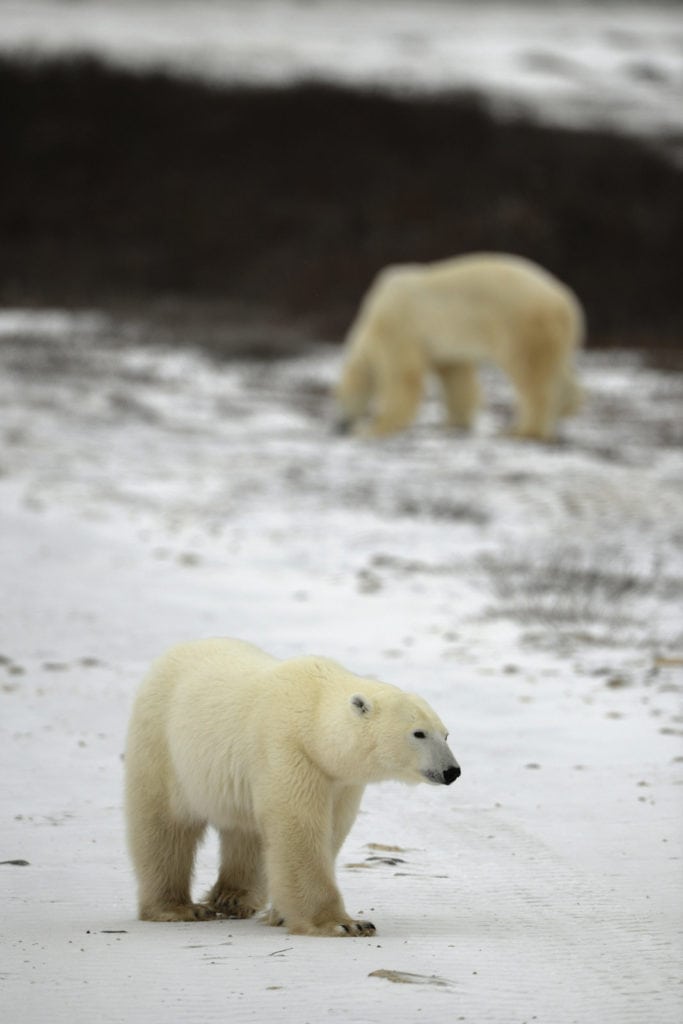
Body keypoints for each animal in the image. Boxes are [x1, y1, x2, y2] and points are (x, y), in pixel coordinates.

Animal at [125, 638, 462, 937]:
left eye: (445, 734)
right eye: (418, 733)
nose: (452, 771)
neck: (313, 716)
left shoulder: (340, 780)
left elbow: (330, 831)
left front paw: (281, 915)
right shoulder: (289, 750)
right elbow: (300, 830)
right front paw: (345, 924)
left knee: (246, 832)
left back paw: (232, 899)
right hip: (163, 744)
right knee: (164, 827)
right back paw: (178, 908)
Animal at [333, 250, 585, 440]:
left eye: (339, 396)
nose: (339, 425)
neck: (370, 319)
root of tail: (567, 303)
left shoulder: (398, 329)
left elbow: (402, 377)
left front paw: (373, 428)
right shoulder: (441, 347)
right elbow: (455, 375)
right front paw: (454, 422)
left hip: (521, 323)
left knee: (530, 372)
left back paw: (523, 431)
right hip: (551, 334)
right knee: (555, 369)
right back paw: (565, 406)